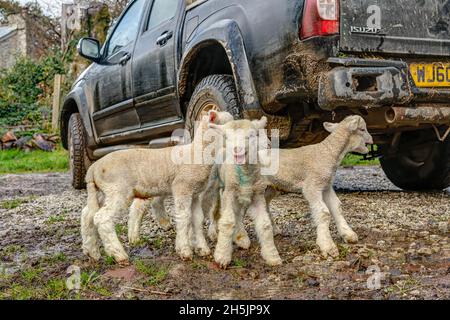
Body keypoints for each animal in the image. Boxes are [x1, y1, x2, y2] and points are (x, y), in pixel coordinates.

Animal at [81, 110, 234, 262]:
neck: (198, 152)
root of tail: (93, 169)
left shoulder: (194, 193)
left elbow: (197, 219)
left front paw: (203, 249)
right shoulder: (182, 188)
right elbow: (184, 217)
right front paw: (184, 251)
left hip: (100, 193)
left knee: (87, 215)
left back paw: (92, 251)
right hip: (117, 190)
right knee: (102, 218)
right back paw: (119, 254)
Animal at [208, 117, 282, 268]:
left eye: (251, 136)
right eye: (228, 137)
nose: (237, 149)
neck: (244, 172)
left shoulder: (258, 195)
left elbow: (264, 224)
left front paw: (272, 255)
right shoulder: (228, 193)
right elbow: (227, 222)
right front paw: (222, 256)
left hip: (243, 197)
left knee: (238, 215)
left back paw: (241, 237)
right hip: (217, 189)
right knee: (214, 211)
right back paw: (213, 232)